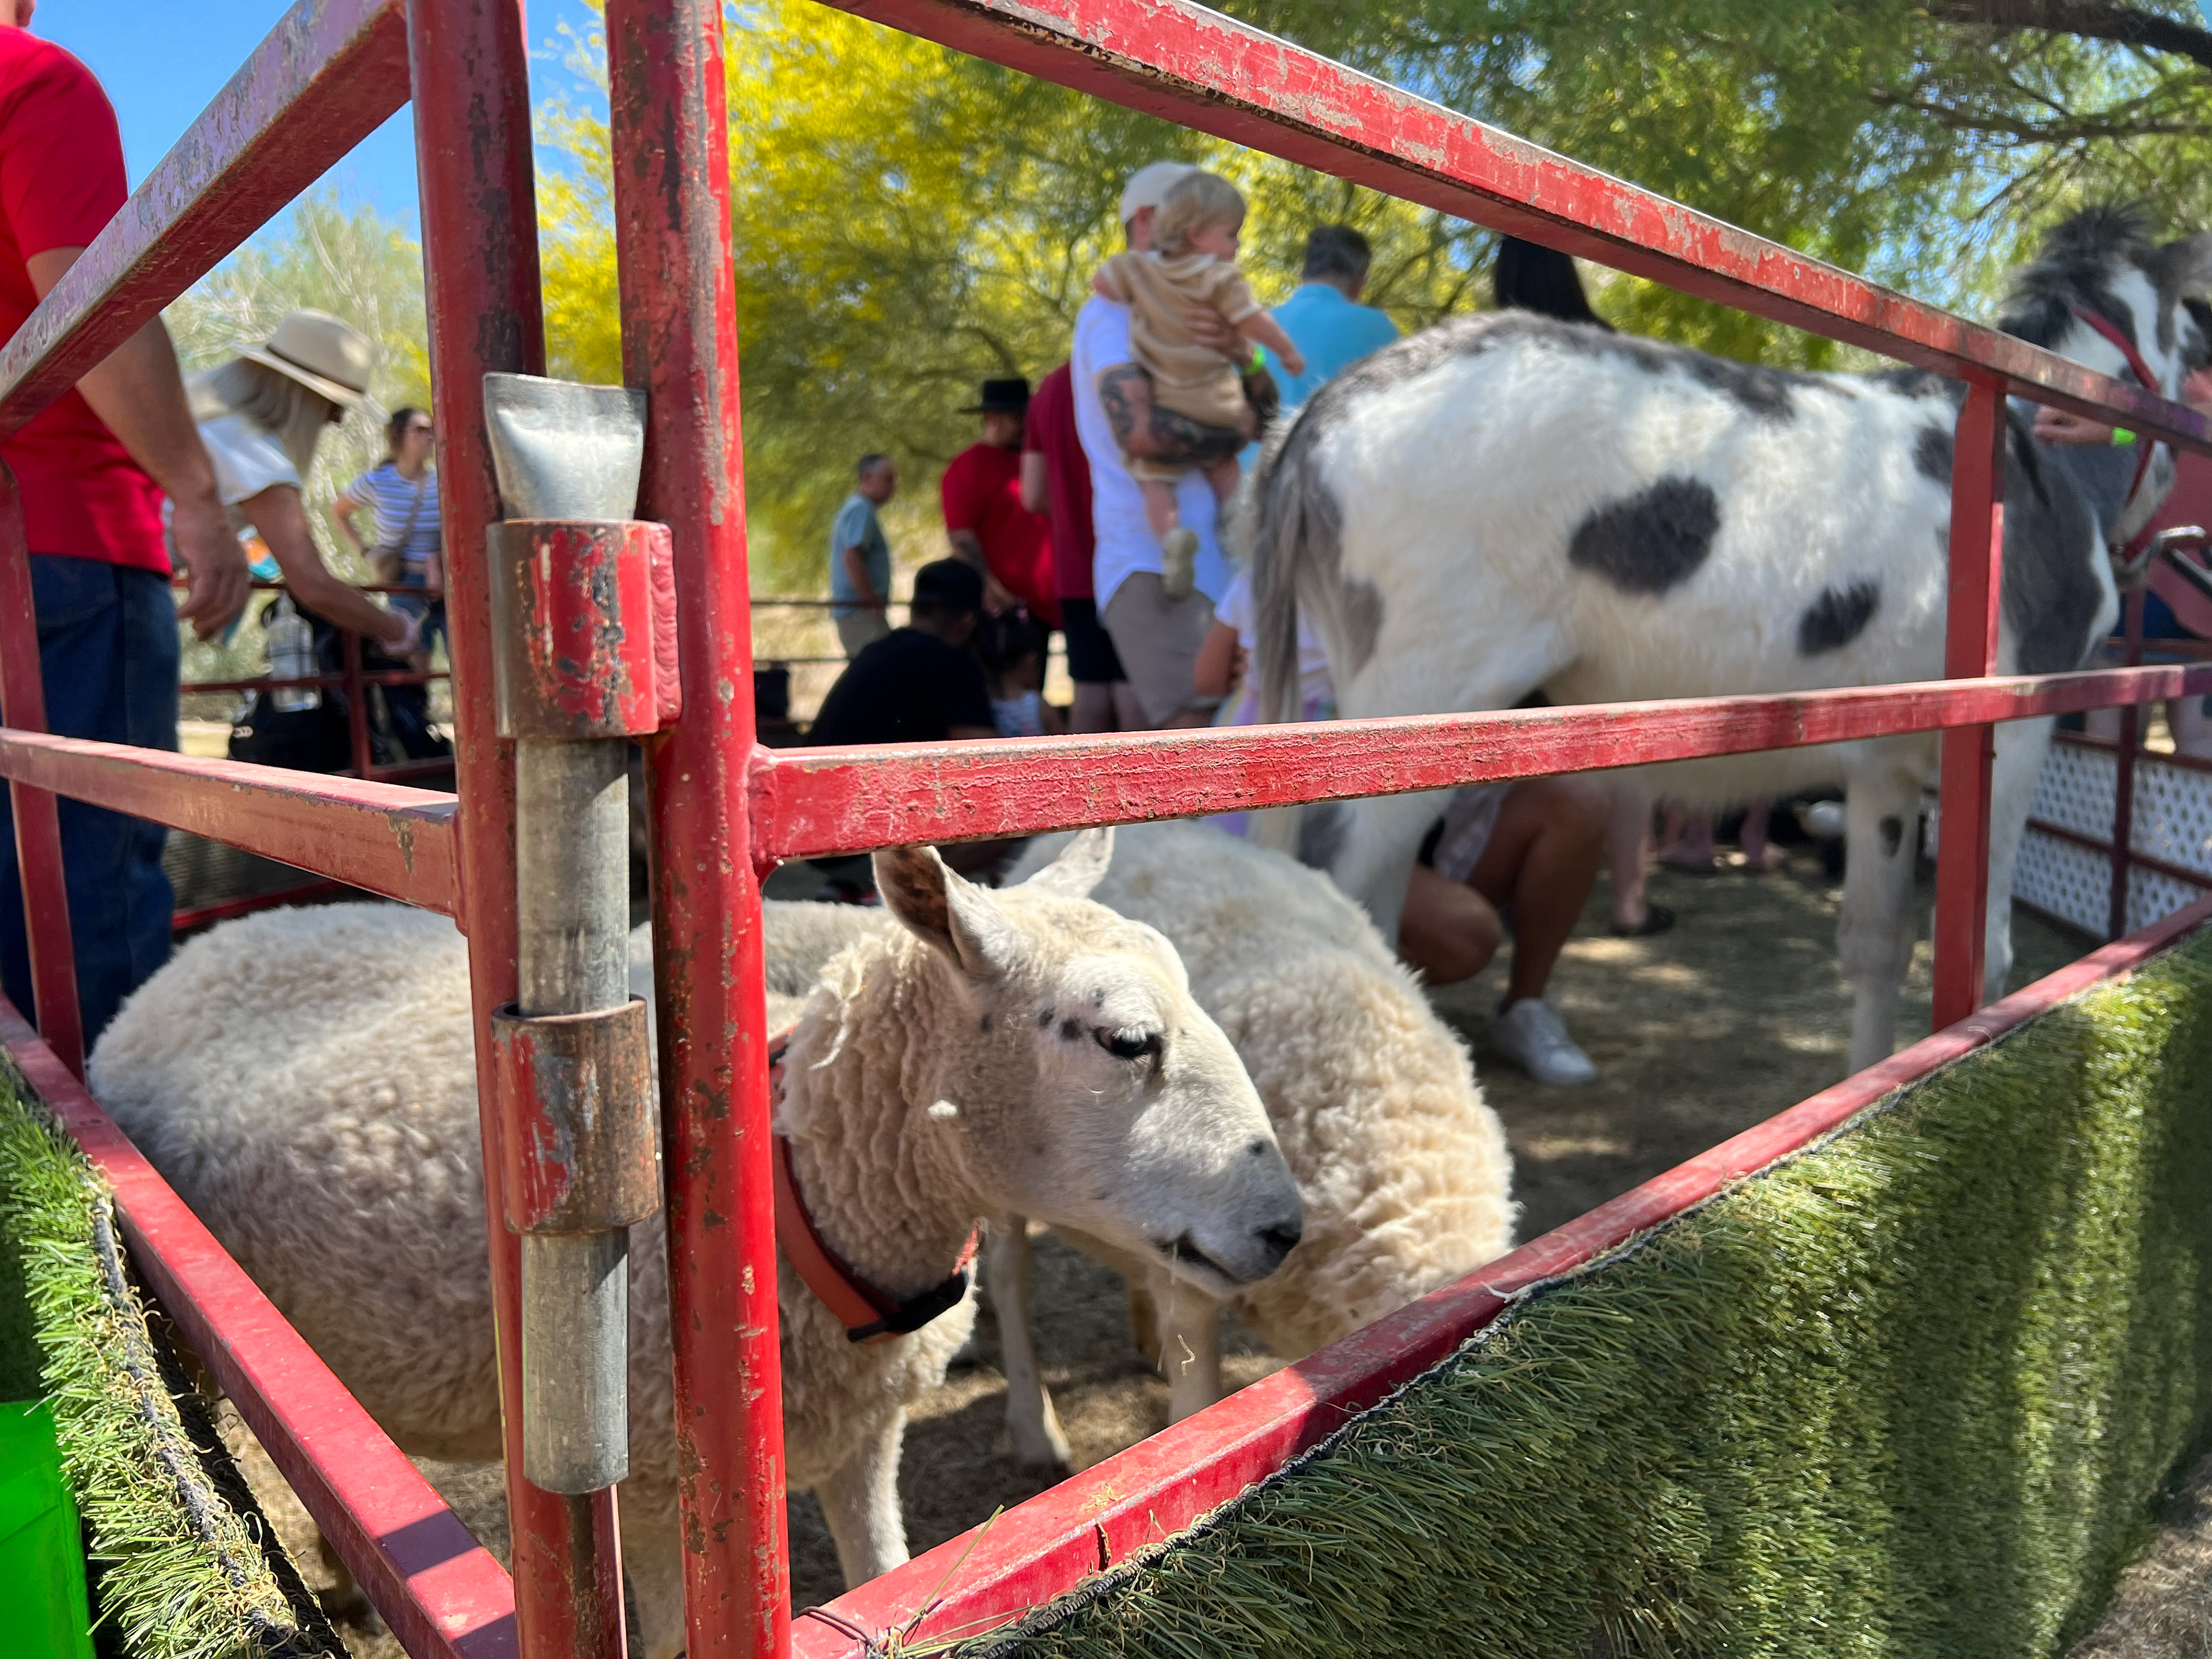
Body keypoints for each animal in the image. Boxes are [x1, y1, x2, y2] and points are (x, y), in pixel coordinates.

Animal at [86, 833, 1302, 1658]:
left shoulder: (866, 1433)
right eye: (1126, 1041)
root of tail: (193, 959)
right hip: (183, 1323)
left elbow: (890, 1578)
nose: (1287, 1227)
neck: (804, 1190)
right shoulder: (656, 1477)